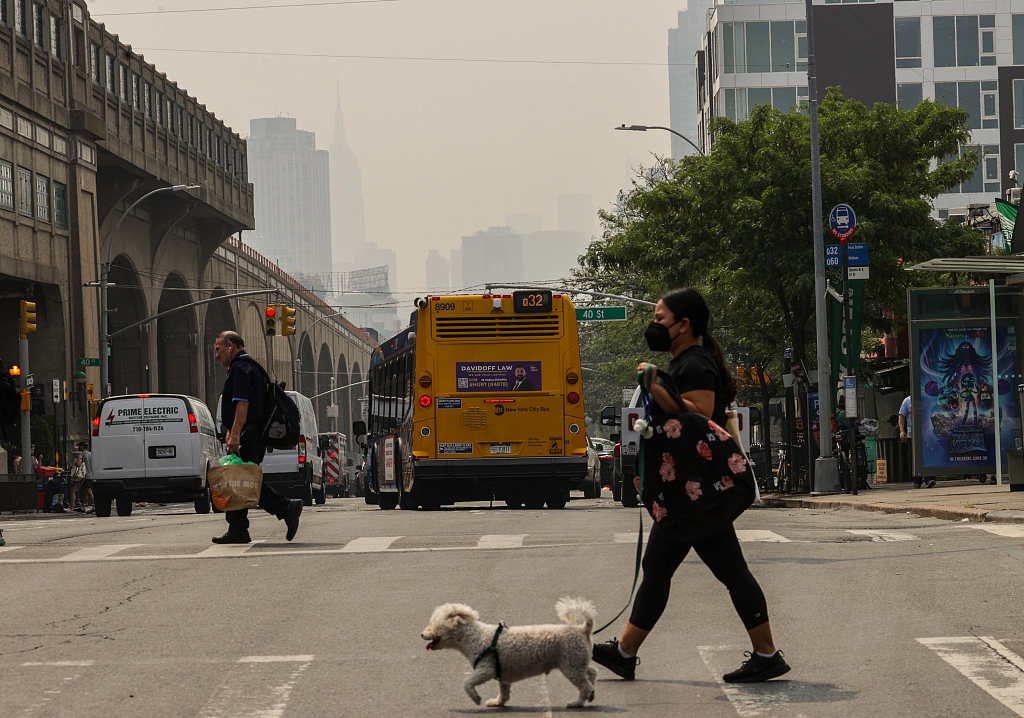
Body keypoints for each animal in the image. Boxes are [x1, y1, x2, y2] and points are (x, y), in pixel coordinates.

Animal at [421, 598, 598, 704]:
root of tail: (583, 629)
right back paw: (590, 696)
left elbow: (467, 683)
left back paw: (577, 703)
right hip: (577, 661)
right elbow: (504, 692)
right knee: (592, 672)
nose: (422, 634)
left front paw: (476, 698)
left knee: (585, 686)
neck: (473, 636)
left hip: (570, 665)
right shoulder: (502, 674)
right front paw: (497, 703)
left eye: (432, 624)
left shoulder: (486, 669)